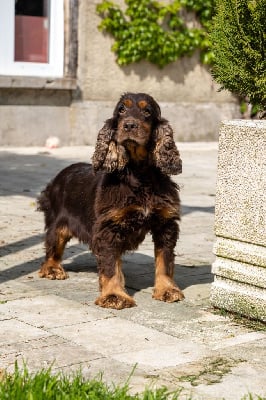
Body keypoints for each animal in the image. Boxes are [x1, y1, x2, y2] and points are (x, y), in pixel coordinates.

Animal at [37, 93, 184, 310]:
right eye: (121, 110)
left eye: (147, 111)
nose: (129, 125)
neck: (139, 175)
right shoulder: (108, 227)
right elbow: (110, 265)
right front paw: (114, 296)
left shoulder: (165, 224)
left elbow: (164, 260)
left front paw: (167, 290)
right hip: (58, 223)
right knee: (52, 246)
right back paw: (52, 269)